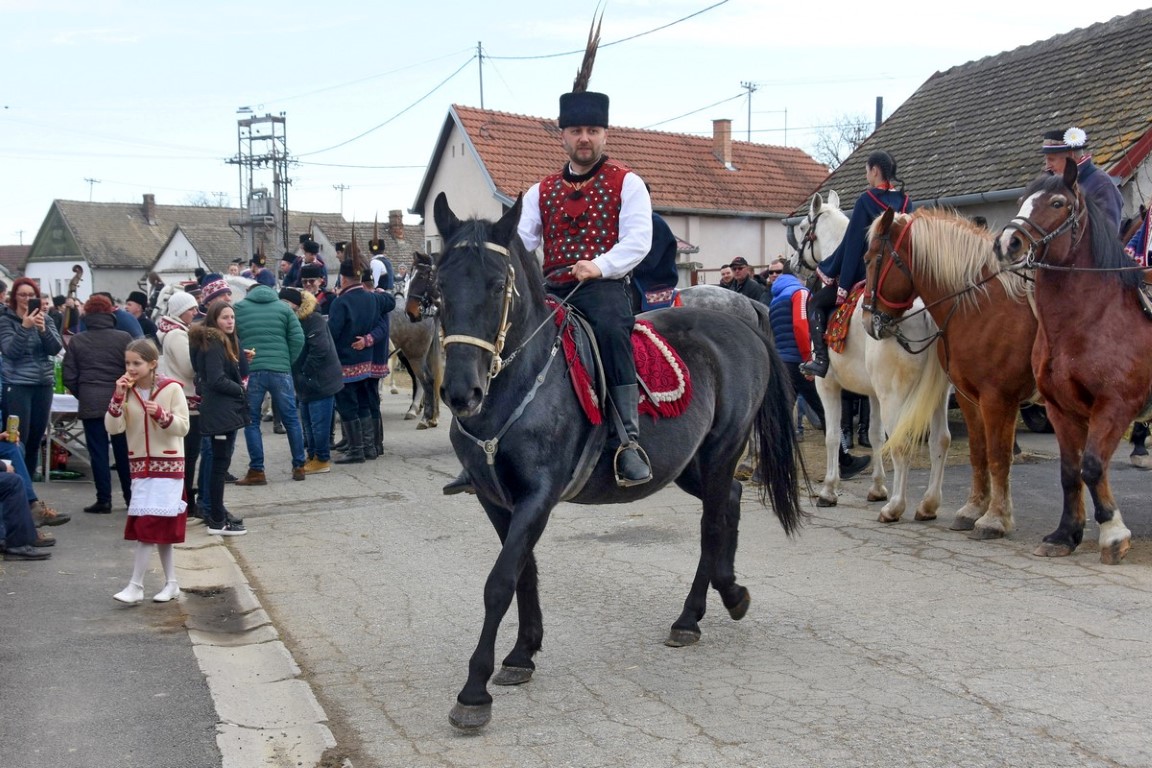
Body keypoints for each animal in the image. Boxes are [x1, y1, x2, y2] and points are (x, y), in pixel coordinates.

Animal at [431, 192, 806, 731]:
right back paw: (717, 601)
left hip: (721, 450)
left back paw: (701, 610)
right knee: (729, 502)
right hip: (688, 464)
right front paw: (523, 653)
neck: (517, 386)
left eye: (498, 285)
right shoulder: (496, 498)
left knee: (713, 522)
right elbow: (523, 571)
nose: (462, 393)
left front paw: (474, 691)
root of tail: (743, 318)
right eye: (439, 286)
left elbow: (499, 582)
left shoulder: (537, 497)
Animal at [794, 192, 953, 521]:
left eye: (803, 227)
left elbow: (832, 435)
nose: (793, 264)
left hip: (897, 395)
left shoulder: (827, 386)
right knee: (940, 440)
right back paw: (928, 504)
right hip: (937, 394)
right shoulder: (873, 394)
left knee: (903, 442)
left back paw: (896, 507)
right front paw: (878, 488)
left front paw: (829, 490)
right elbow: (876, 435)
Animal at [863, 207, 1038, 539]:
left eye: (869, 258)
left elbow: (999, 456)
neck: (983, 307)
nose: (868, 321)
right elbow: (978, 451)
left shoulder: (998, 399)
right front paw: (973, 509)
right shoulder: (970, 397)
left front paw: (995, 518)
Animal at [994, 159, 1152, 563]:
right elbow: (1070, 471)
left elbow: (1093, 466)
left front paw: (1113, 533)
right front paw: (1065, 534)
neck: (1090, 318)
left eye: (1057, 203)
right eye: (1020, 200)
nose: (1007, 243)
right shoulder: (1060, 408)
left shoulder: (1115, 405)